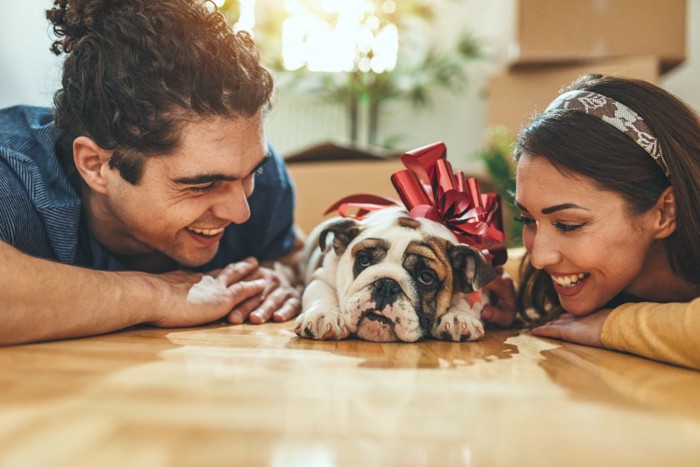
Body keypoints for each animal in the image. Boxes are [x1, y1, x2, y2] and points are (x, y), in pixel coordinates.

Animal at [292, 207, 494, 344]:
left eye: (426, 277)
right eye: (363, 260)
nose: (386, 285)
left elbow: (468, 299)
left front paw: (459, 317)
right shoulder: (322, 277)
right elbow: (321, 293)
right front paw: (323, 315)